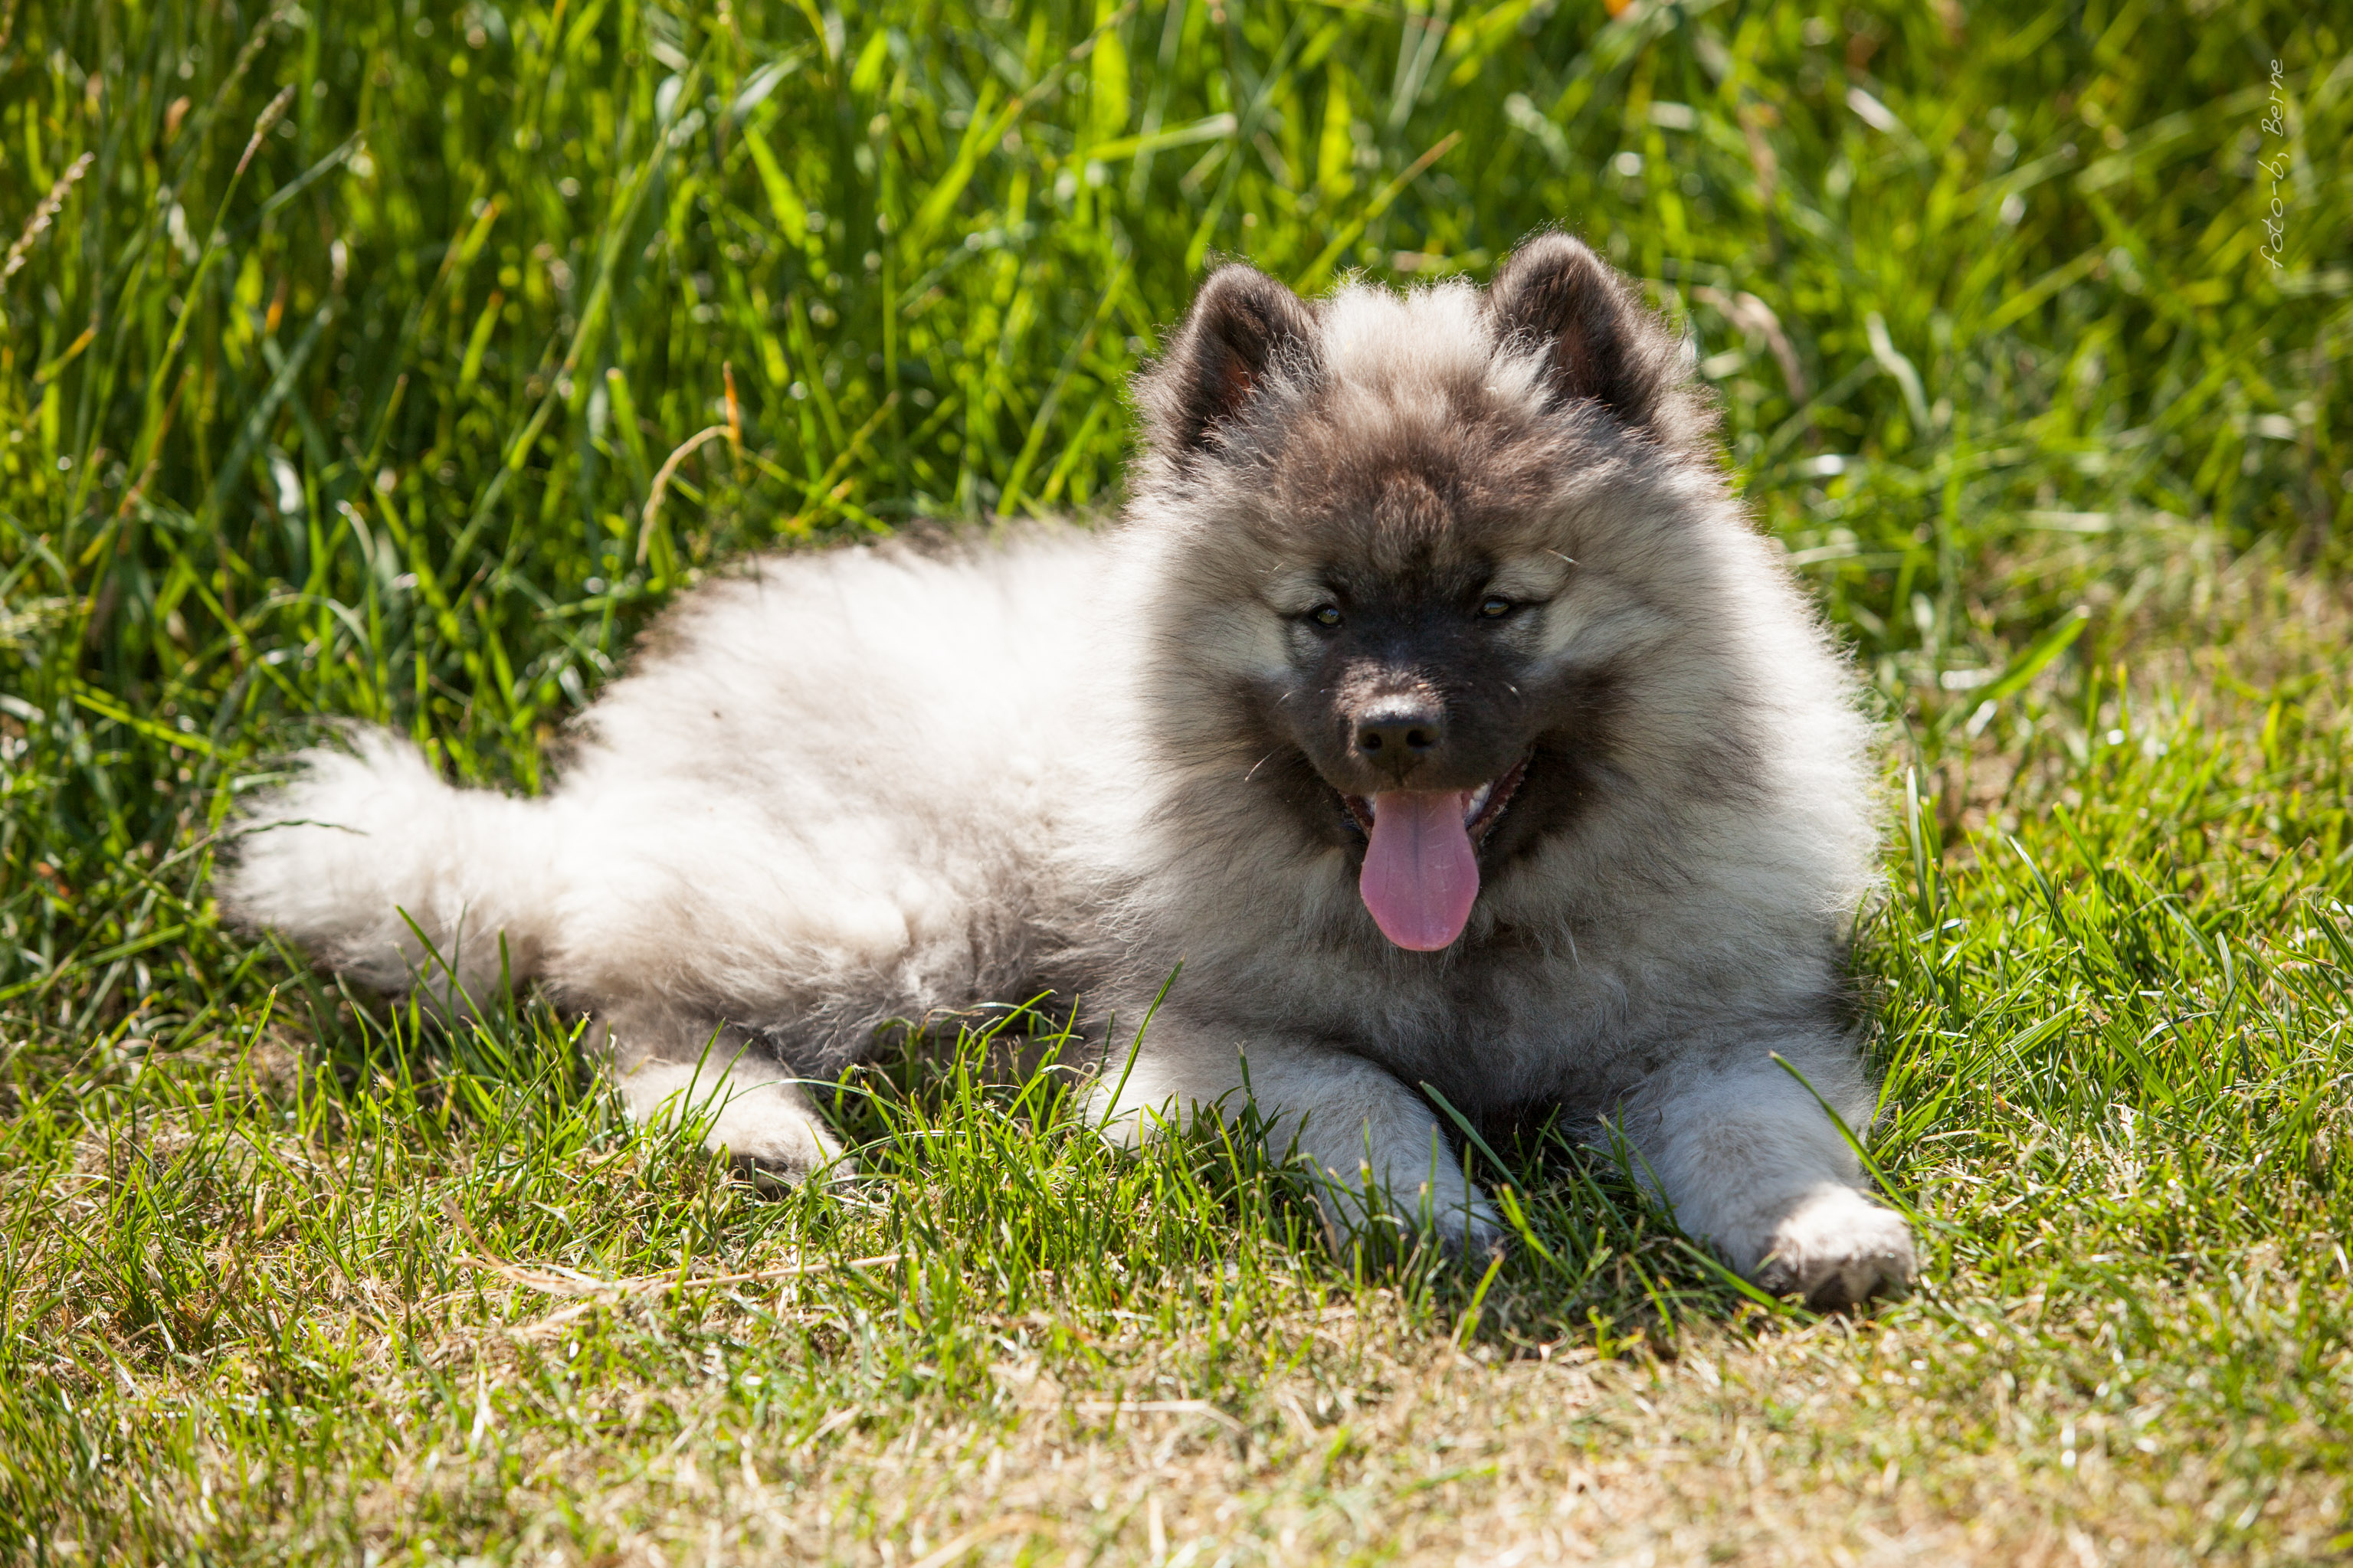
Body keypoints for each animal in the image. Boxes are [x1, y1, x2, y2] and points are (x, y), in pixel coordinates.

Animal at [226, 234, 1916, 1307]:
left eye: (1498, 603)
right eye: (1320, 613)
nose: (1393, 728)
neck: (1473, 953)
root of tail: (616, 763)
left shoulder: (1714, 1034)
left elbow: (1753, 1133)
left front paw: (1824, 1229)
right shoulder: (1207, 1038)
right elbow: (1367, 1091)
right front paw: (1423, 1206)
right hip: (890, 915)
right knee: (622, 993)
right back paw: (758, 1136)